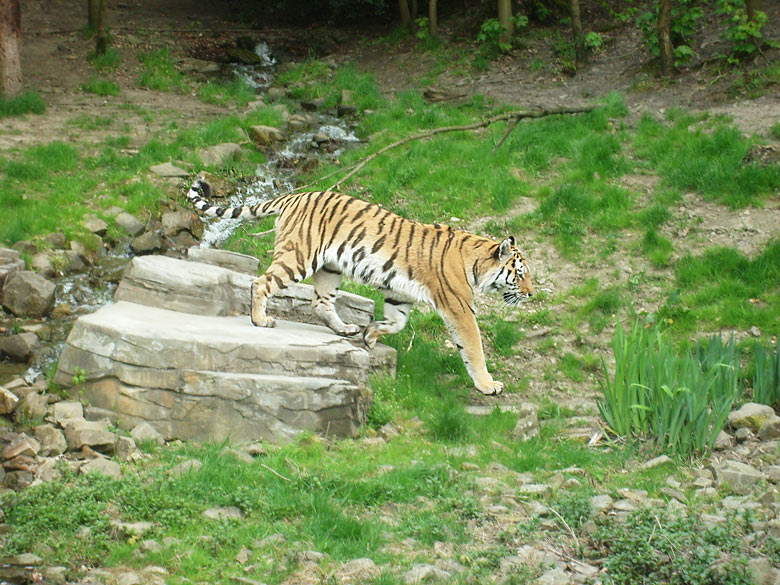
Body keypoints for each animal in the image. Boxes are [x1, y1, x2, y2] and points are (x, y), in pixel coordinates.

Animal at [186, 180, 532, 394]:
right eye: (520, 273)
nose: (531, 293)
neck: (476, 262)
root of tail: (296, 195)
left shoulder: (399, 294)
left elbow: (397, 322)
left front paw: (370, 334)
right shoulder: (459, 307)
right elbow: (473, 348)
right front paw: (488, 385)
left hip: (329, 267)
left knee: (320, 302)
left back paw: (346, 329)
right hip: (299, 257)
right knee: (261, 282)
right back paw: (261, 320)